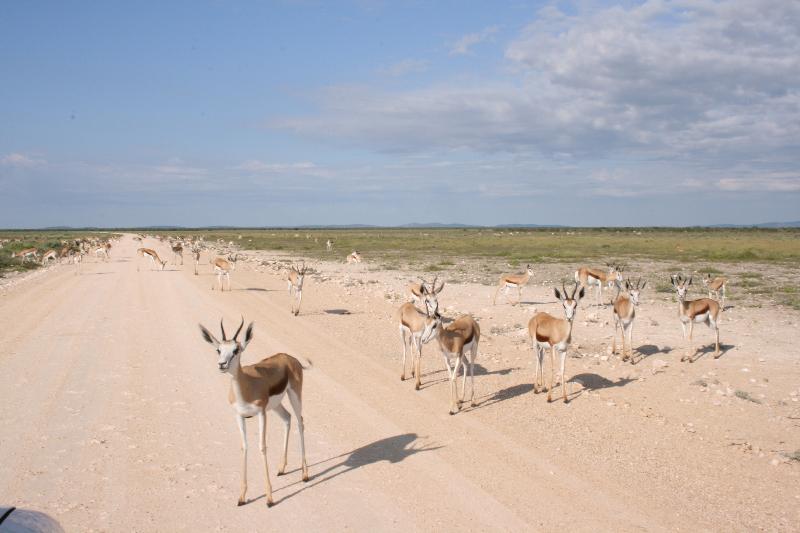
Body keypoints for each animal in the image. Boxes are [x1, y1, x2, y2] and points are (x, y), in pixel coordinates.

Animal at [199, 318, 310, 504]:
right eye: (218, 349)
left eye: (236, 350)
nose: (222, 364)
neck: (247, 387)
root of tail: (290, 358)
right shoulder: (239, 416)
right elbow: (244, 447)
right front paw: (242, 497)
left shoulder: (261, 414)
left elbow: (262, 446)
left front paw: (269, 498)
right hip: (276, 406)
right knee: (287, 418)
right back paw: (281, 468)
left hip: (294, 395)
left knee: (300, 422)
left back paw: (305, 474)